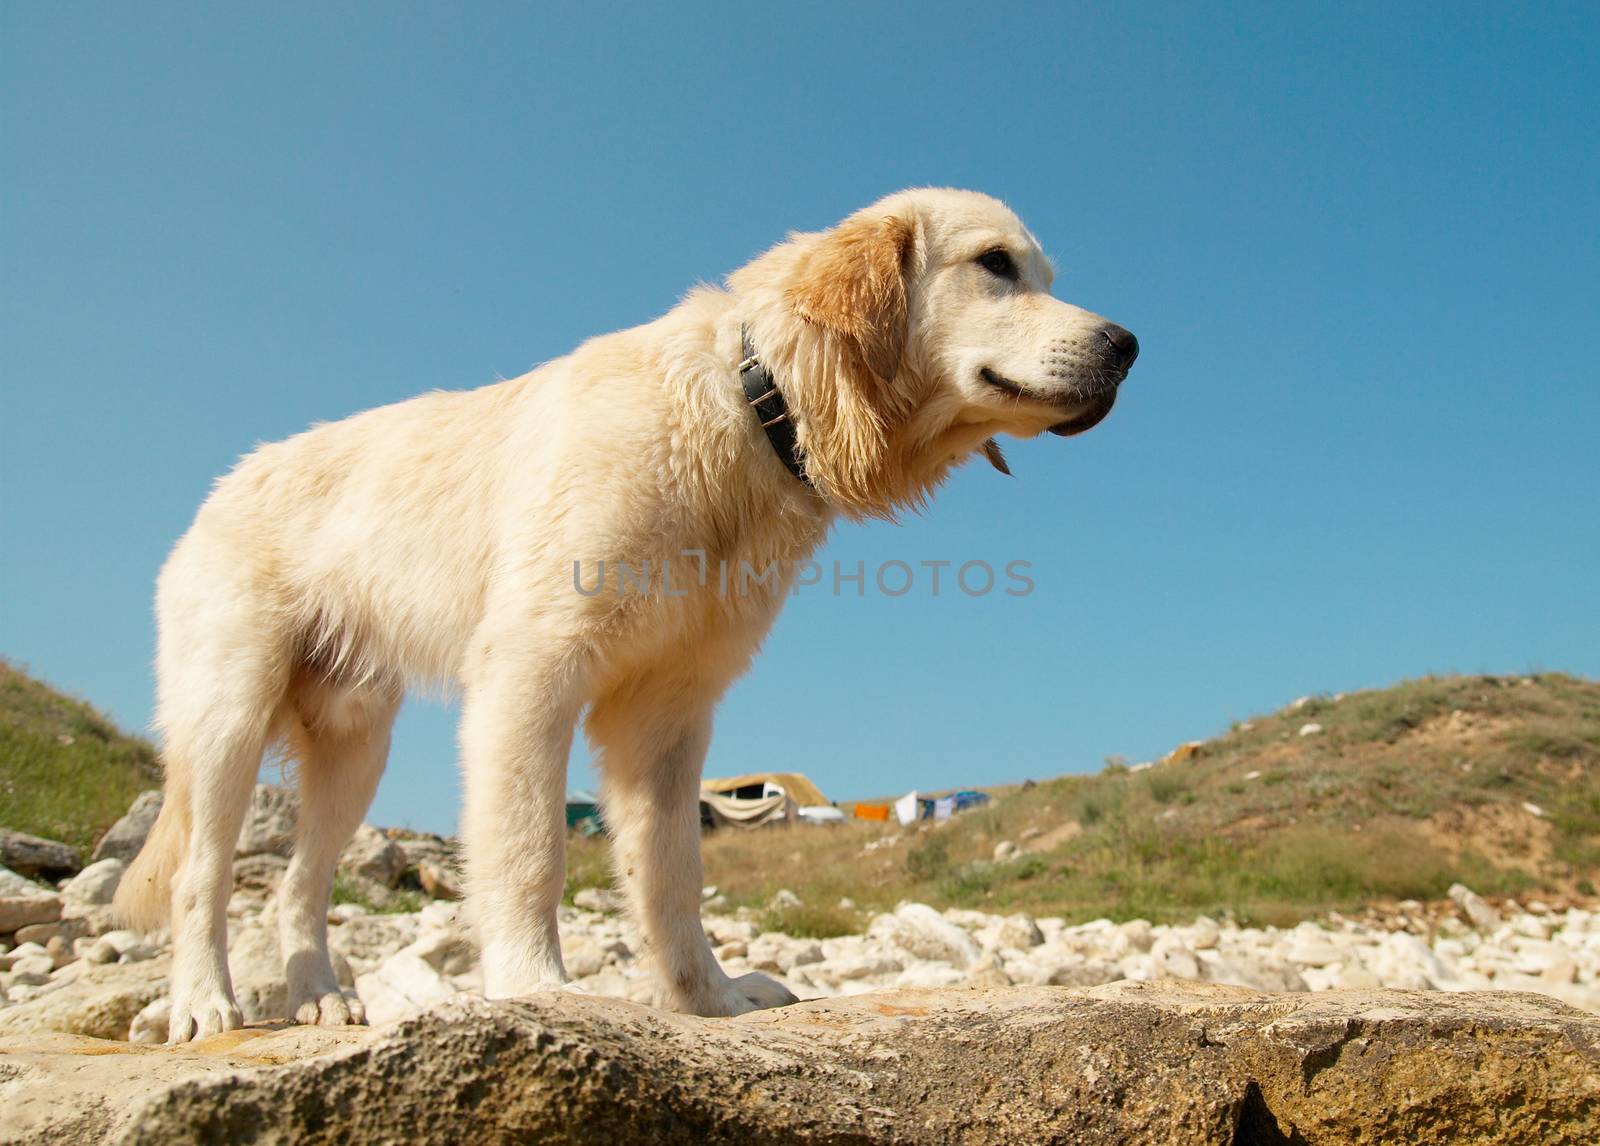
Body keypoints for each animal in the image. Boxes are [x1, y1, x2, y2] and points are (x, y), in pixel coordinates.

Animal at [116, 188, 1139, 1037]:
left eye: (1044, 274)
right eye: (995, 264)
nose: (1128, 346)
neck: (749, 407)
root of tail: (220, 484)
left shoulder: (670, 712)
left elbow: (673, 877)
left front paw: (711, 998)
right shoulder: (531, 677)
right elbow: (531, 851)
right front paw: (536, 986)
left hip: (356, 747)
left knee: (296, 882)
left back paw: (319, 997)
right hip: (229, 717)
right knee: (203, 874)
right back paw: (204, 1005)